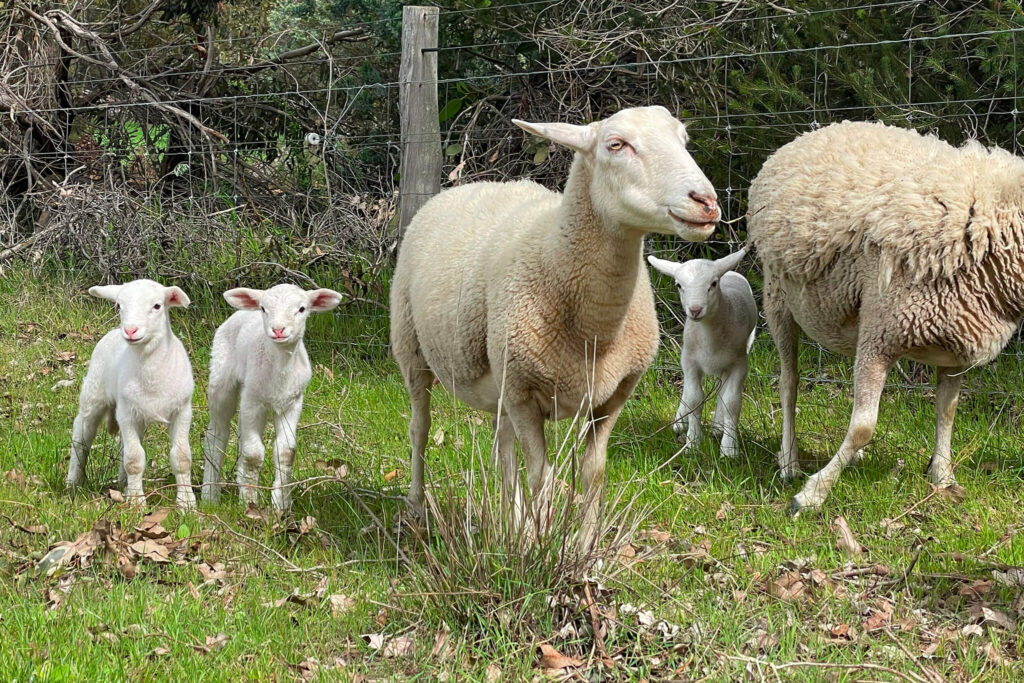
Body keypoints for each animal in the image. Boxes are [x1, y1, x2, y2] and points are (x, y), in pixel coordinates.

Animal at [66, 278, 199, 507]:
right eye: (119, 306)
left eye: (157, 306)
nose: (130, 330)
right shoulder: (126, 413)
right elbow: (134, 459)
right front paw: (137, 502)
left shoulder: (182, 411)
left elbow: (182, 457)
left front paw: (186, 503)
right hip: (94, 394)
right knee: (81, 437)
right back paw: (73, 482)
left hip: (138, 416)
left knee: (122, 447)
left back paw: (123, 484)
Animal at [389, 105, 720, 540]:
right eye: (616, 145)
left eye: (683, 140)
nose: (706, 202)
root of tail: (458, 187)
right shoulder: (523, 393)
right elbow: (540, 477)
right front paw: (542, 545)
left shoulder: (613, 396)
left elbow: (592, 473)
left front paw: (583, 547)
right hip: (411, 347)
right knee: (420, 427)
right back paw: (416, 504)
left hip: (501, 377)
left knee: (503, 446)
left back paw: (512, 524)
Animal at [651, 246, 757, 458]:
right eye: (678, 285)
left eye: (713, 283)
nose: (695, 309)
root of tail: (730, 272)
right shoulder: (690, 361)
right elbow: (694, 399)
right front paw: (692, 443)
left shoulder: (740, 363)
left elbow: (731, 402)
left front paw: (729, 448)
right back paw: (681, 420)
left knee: (723, 390)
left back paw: (718, 426)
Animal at [749, 121, 1024, 511]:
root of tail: (814, 132)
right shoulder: (882, 335)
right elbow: (864, 426)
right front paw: (813, 493)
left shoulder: (954, 346)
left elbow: (947, 412)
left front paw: (942, 476)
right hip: (778, 296)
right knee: (790, 381)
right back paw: (789, 461)